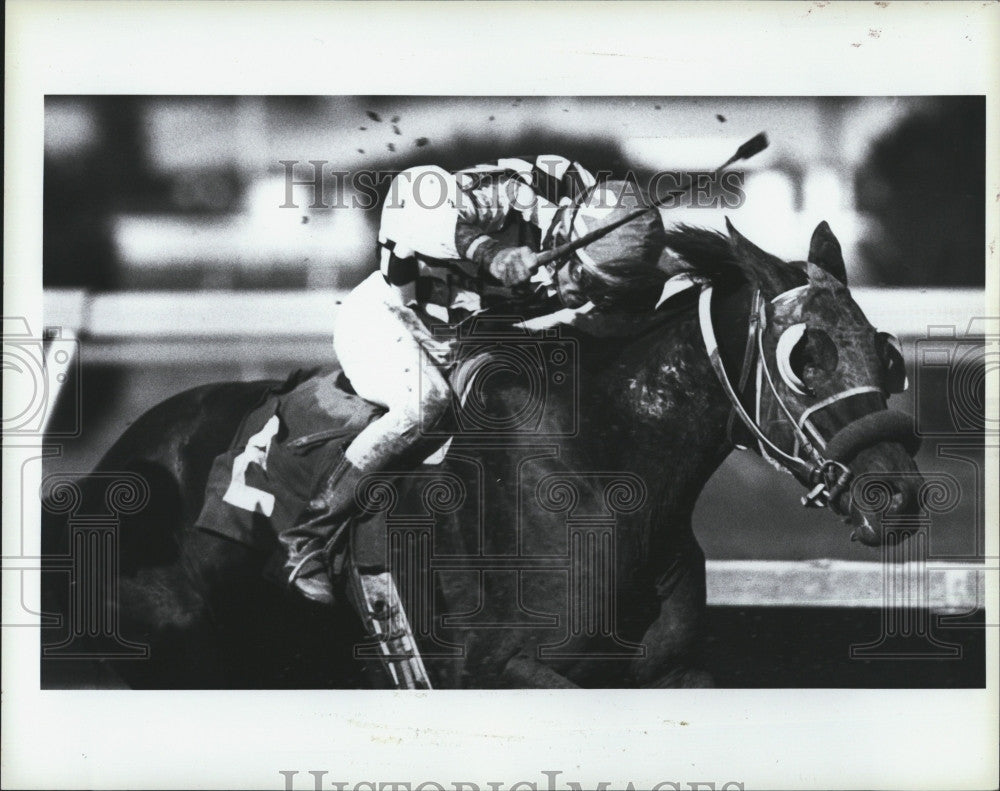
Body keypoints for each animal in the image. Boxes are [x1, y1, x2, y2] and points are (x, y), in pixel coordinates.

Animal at [43, 221, 924, 688]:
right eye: (807, 356)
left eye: (886, 354)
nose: (898, 494)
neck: (606, 469)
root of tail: (119, 463)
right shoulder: (501, 668)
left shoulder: (666, 669)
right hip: (180, 648)